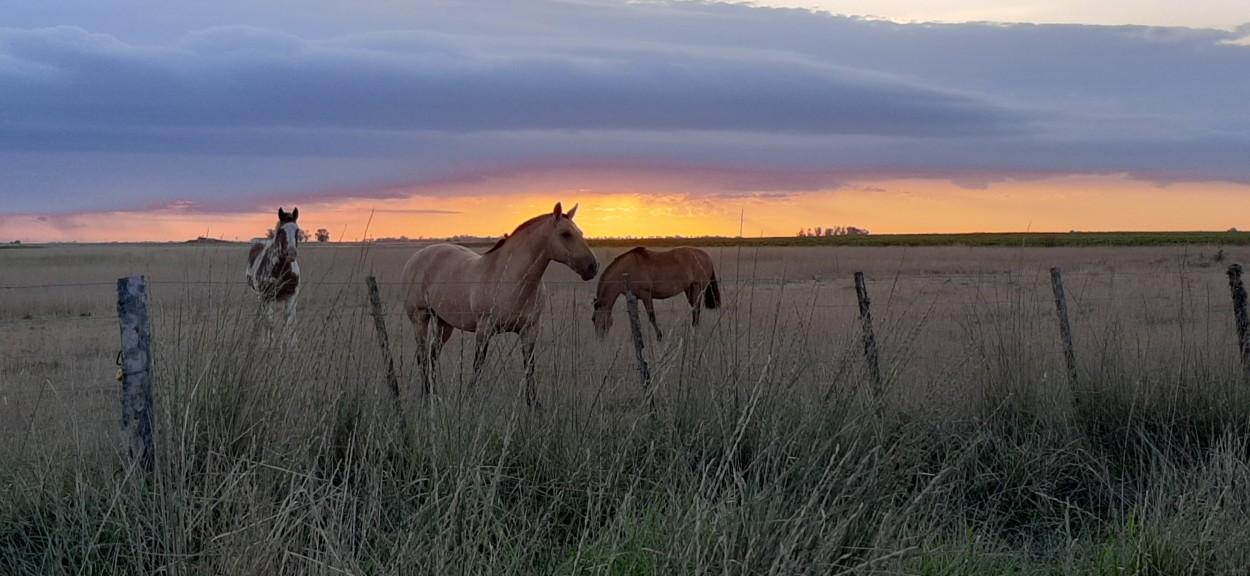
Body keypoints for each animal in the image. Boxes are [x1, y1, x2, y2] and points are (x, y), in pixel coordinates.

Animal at [246, 206, 302, 339]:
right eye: (281, 231)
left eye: (297, 230)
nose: (291, 254)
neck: (281, 270)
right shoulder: (266, 297)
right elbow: (269, 322)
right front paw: (269, 342)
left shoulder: (291, 296)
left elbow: (290, 322)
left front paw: (291, 344)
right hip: (261, 297)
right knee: (263, 317)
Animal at [397, 202, 597, 404]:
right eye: (565, 234)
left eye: (580, 232)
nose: (592, 267)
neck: (510, 278)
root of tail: (417, 256)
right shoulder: (484, 330)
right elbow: (478, 365)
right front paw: (469, 399)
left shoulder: (530, 329)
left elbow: (529, 366)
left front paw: (533, 404)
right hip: (420, 319)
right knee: (422, 357)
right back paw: (426, 396)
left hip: (443, 324)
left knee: (432, 356)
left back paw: (434, 395)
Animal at [595, 244, 725, 339]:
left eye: (593, 319)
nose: (600, 339)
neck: (626, 269)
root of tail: (707, 257)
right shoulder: (632, 298)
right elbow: (634, 320)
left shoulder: (646, 295)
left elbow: (652, 317)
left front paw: (659, 336)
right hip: (689, 289)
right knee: (695, 309)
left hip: (697, 288)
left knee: (696, 310)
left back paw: (694, 331)